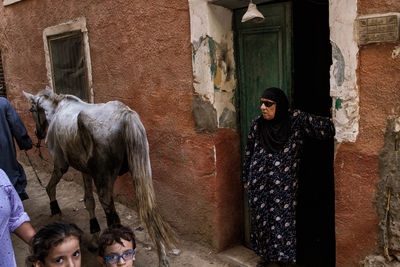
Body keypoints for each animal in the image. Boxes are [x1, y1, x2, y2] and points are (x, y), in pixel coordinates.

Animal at [24, 87, 174, 266]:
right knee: (150, 209)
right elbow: (89, 201)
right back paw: (163, 258)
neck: (57, 109)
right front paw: (95, 238)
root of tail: (125, 115)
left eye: (32, 110)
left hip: (103, 180)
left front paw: (56, 212)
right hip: (141, 172)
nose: (37, 133)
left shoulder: (61, 165)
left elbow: (50, 187)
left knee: (112, 215)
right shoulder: (86, 170)